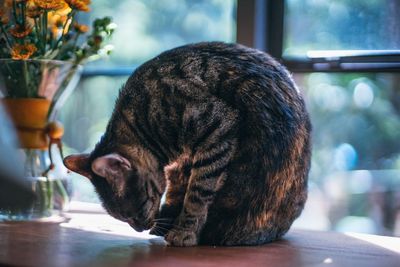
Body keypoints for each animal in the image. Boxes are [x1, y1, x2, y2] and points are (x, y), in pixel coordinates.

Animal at [63, 41, 312, 247]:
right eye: (122, 218)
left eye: (137, 211)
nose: (140, 229)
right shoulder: (182, 162)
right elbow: (177, 189)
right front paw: (168, 219)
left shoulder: (217, 130)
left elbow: (196, 194)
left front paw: (184, 230)